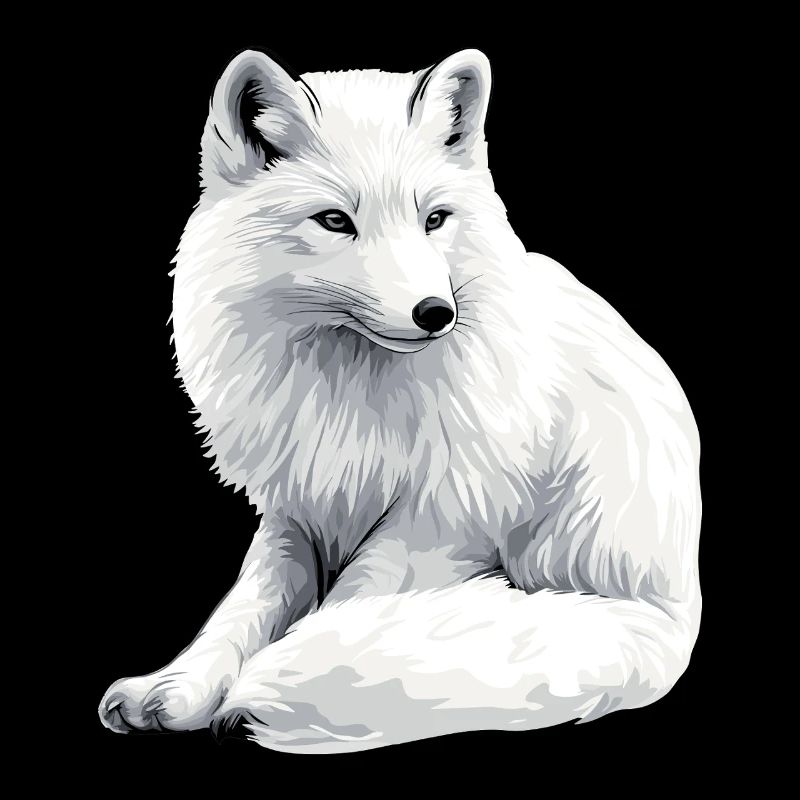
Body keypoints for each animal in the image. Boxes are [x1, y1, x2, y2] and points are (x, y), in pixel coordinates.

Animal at [99, 48, 701, 753]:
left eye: (434, 219)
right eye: (335, 221)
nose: (436, 313)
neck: (350, 390)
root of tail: (673, 612)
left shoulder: (440, 518)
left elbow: (349, 608)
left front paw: (277, 679)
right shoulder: (296, 507)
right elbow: (244, 607)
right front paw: (178, 688)